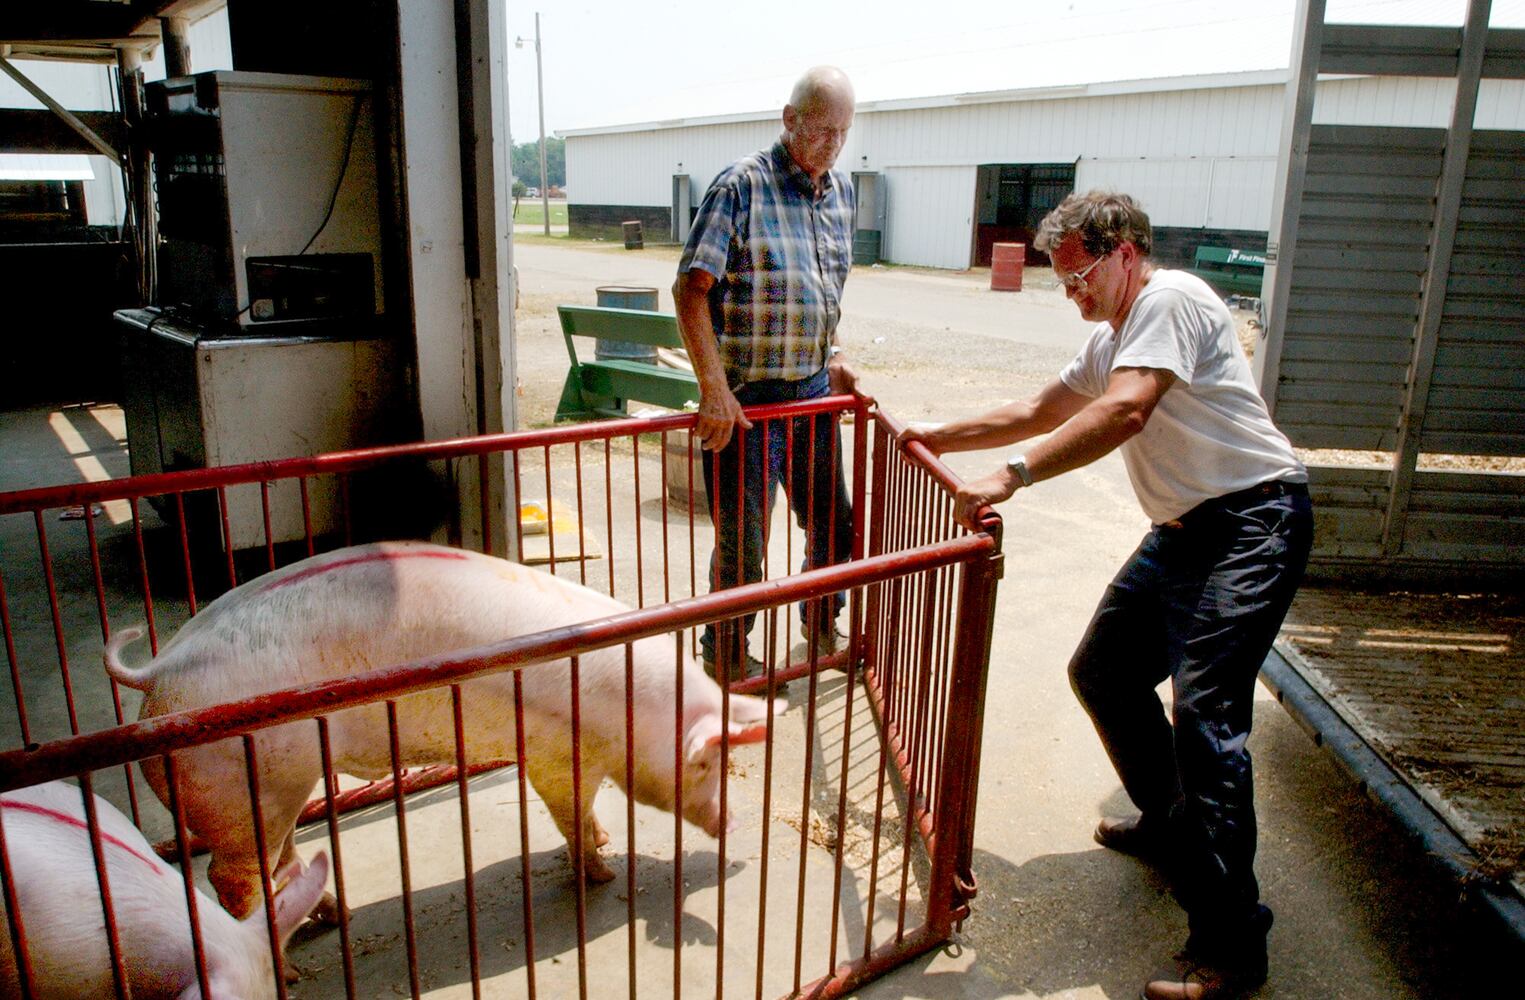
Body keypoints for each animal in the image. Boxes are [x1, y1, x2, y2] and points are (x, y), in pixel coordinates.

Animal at [104, 542, 786, 926]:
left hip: (274, 789)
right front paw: (601, 873)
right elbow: (568, 811)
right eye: (706, 764)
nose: (732, 824)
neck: (632, 711)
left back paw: (333, 916)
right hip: (240, 790)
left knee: (283, 859)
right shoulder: (553, 755)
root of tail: (161, 670)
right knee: (232, 879)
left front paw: (604, 841)